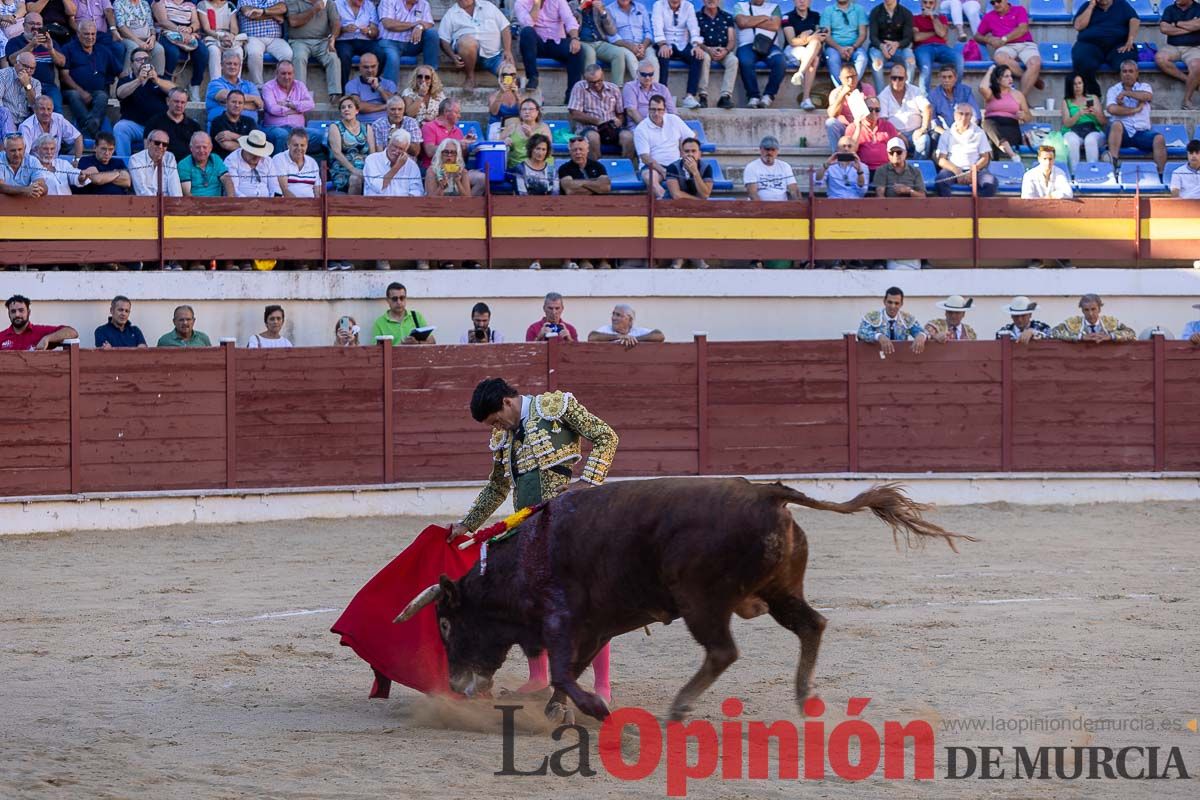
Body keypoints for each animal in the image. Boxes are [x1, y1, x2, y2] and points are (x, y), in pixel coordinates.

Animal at [396, 479, 974, 724]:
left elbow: (564, 668)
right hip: (780, 591)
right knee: (812, 625)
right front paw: (559, 707)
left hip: (701, 601)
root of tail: (768, 491)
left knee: (723, 651)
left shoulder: (561, 618)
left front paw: (594, 709)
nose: (455, 686)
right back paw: (803, 697)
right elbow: (574, 668)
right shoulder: (597, 625)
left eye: (445, 624)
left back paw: (680, 706)